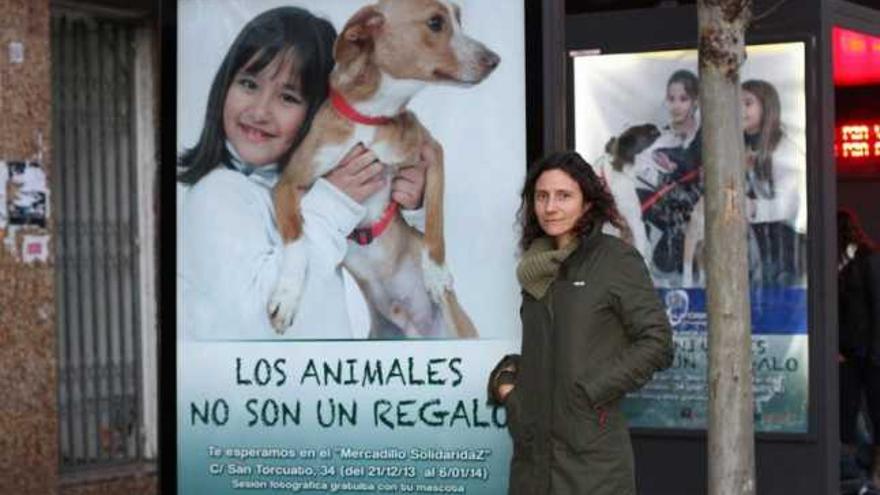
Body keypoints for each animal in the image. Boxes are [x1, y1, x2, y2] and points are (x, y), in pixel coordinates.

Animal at [268, 0, 498, 340]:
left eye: (460, 20)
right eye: (435, 23)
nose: (495, 60)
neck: (371, 118)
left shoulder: (432, 151)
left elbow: (434, 215)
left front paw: (436, 272)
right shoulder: (287, 183)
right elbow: (297, 240)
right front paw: (286, 297)